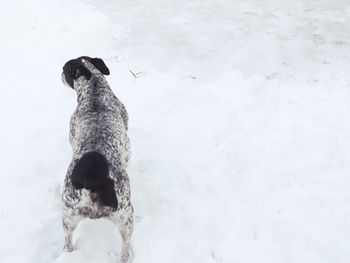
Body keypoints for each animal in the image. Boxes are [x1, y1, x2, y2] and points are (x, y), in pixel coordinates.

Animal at [60, 56, 133, 262]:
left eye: (64, 69)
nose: (59, 73)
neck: (94, 92)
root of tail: (91, 181)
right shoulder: (127, 148)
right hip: (126, 217)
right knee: (125, 246)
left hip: (68, 217)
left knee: (67, 241)